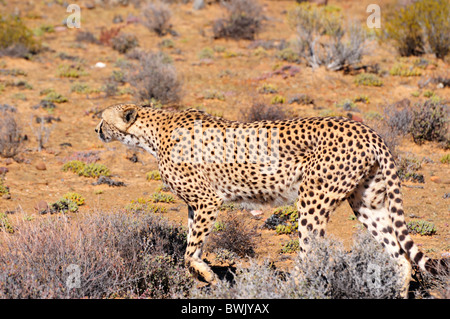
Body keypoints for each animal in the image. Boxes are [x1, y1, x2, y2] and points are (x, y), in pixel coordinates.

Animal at [95, 104, 446, 296]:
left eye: (103, 118)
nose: (96, 129)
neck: (152, 132)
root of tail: (368, 131)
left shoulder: (208, 200)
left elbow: (189, 251)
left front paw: (205, 274)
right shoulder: (195, 205)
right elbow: (191, 244)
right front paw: (201, 275)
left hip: (312, 199)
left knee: (311, 256)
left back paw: (290, 290)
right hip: (366, 203)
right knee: (400, 257)